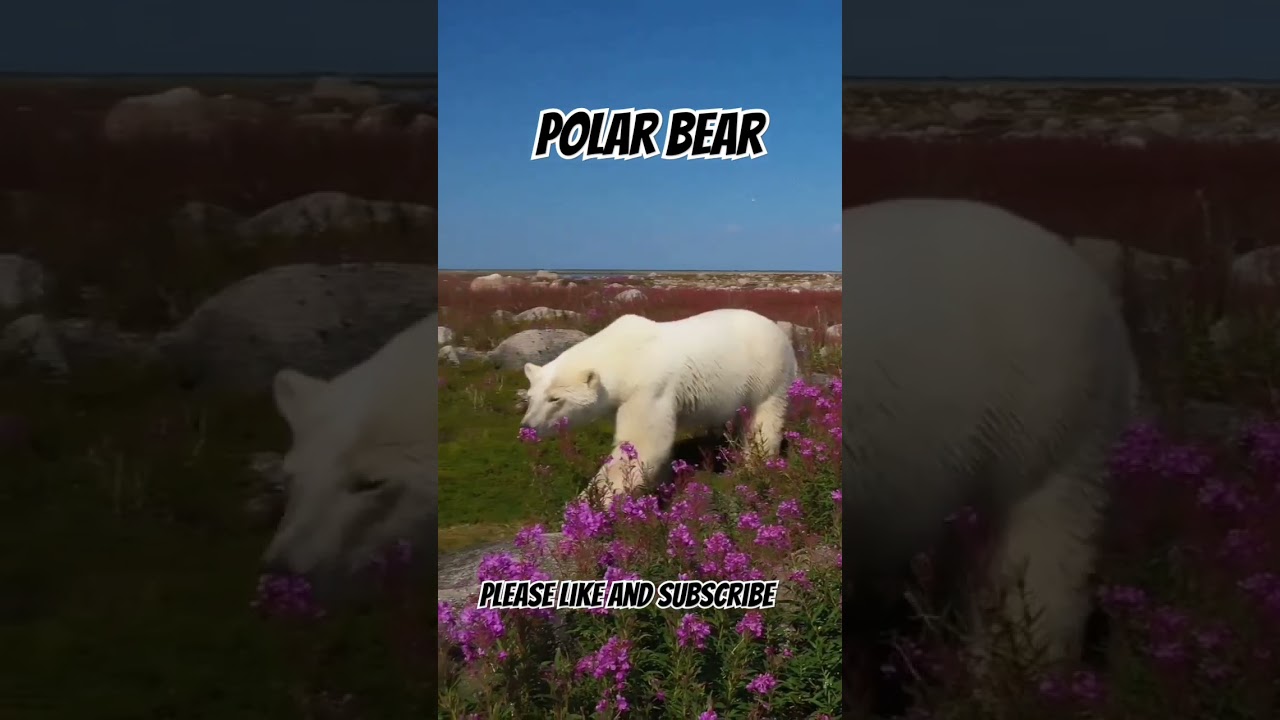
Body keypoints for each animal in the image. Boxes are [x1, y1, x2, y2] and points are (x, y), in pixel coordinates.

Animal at [519, 308, 798, 504]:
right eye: (531, 397)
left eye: (555, 399)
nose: (527, 428)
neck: (622, 356)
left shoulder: (648, 388)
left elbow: (642, 444)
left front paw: (591, 502)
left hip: (767, 372)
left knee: (763, 420)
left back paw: (752, 466)